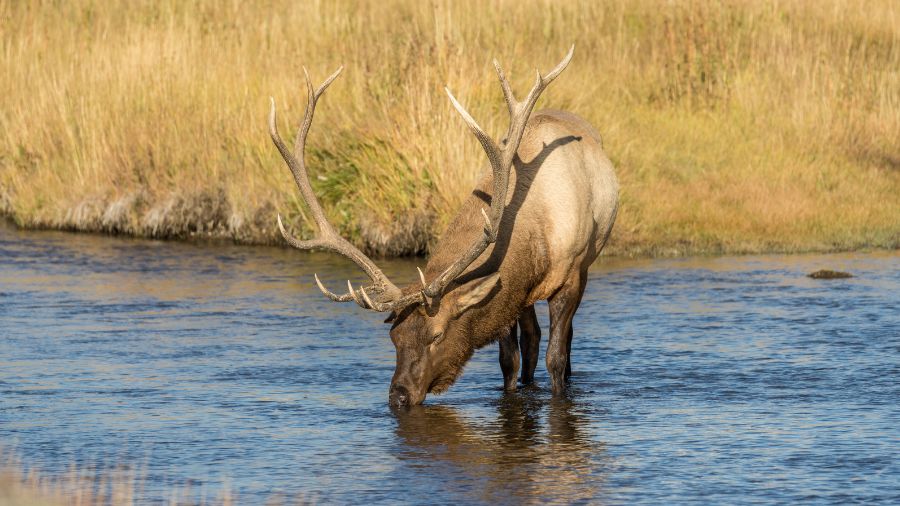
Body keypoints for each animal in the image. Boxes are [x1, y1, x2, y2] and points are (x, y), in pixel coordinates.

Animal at [269, 46, 618, 407]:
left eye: (436, 335)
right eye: (394, 336)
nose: (399, 396)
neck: (537, 235)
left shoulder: (571, 273)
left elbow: (556, 359)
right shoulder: (510, 292)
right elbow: (509, 362)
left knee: (564, 341)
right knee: (532, 338)